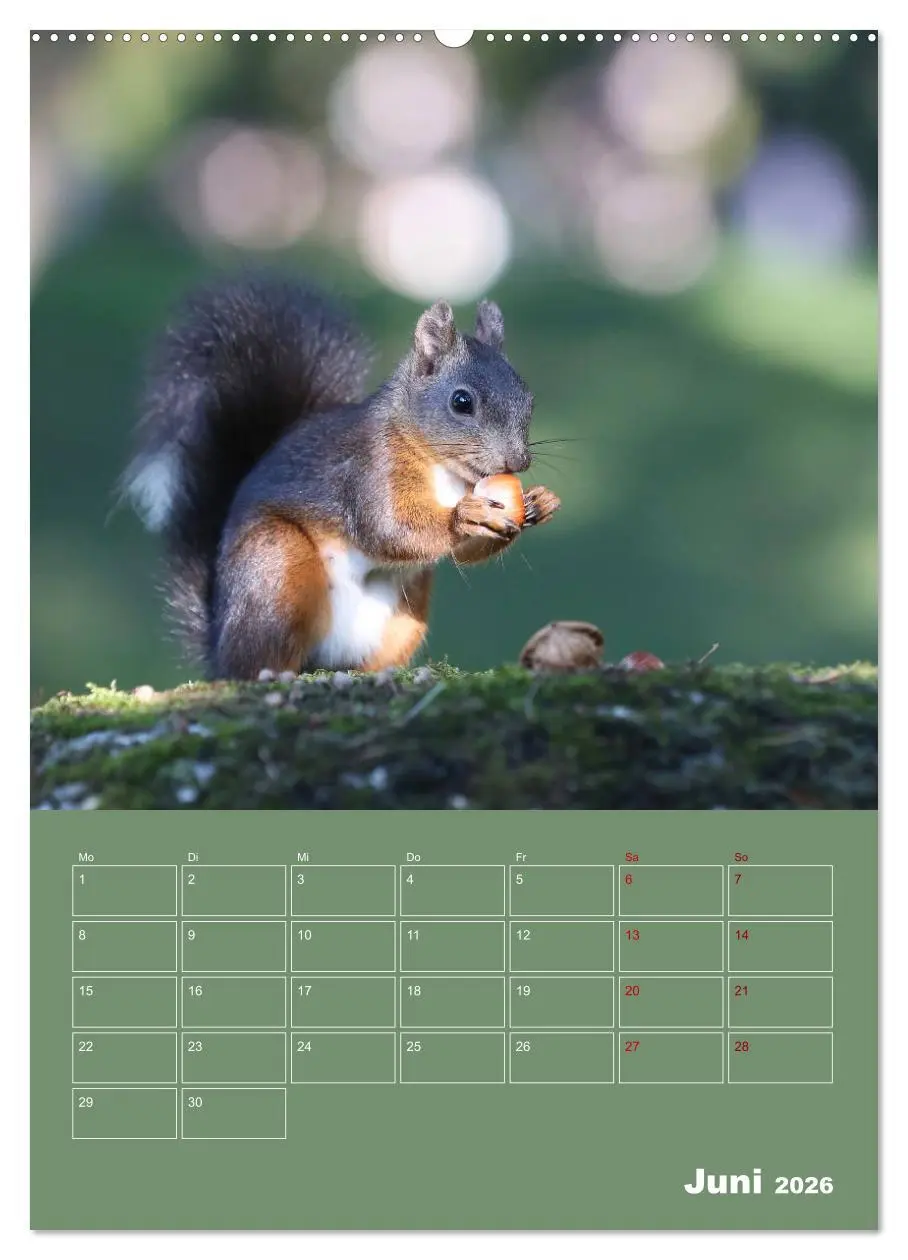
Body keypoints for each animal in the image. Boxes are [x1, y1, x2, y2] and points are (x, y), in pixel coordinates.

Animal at [123, 274, 561, 680]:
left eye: (529, 399)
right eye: (461, 401)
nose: (518, 461)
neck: (446, 472)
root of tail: (218, 643)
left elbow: (464, 552)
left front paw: (539, 503)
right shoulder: (369, 468)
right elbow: (388, 527)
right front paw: (464, 516)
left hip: (407, 608)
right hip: (275, 565)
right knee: (255, 659)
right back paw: (270, 672)